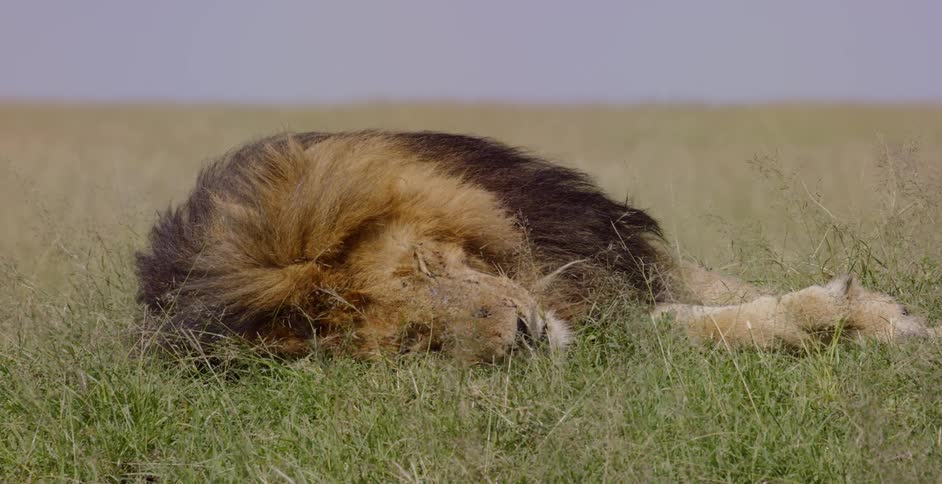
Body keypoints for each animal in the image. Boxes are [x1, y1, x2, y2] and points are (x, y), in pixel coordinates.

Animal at [134, 130, 937, 361]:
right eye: (411, 340)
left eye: (422, 265)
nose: (521, 334)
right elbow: (689, 326)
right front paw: (840, 319)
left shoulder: (606, 250)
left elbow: (720, 289)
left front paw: (887, 313)